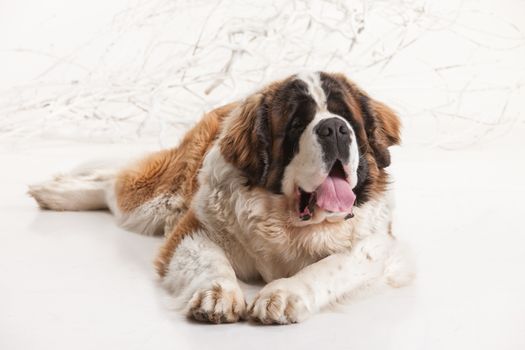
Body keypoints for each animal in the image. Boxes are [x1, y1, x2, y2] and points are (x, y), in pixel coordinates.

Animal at [28, 72, 414, 326]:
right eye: (296, 124)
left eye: (347, 117)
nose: (334, 128)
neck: (288, 224)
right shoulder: (194, 229)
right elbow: (210, 261)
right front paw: (217, 294)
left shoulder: (378, 245)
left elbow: (332, 266)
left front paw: (283, 294)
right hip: (154, 201)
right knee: (113, 185)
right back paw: (57, 193)